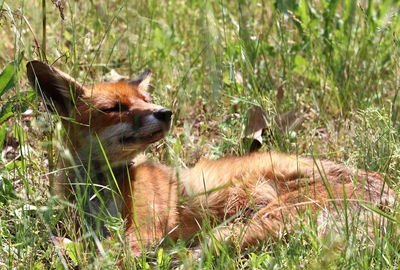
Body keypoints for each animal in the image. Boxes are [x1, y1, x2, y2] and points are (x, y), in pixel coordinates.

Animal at [26, 60, 396, 256]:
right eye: (114, 108)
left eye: (146, 99)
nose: (166, 112)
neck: (97, 189)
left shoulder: (145, 229)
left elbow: (107, 252)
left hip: (251, 221)